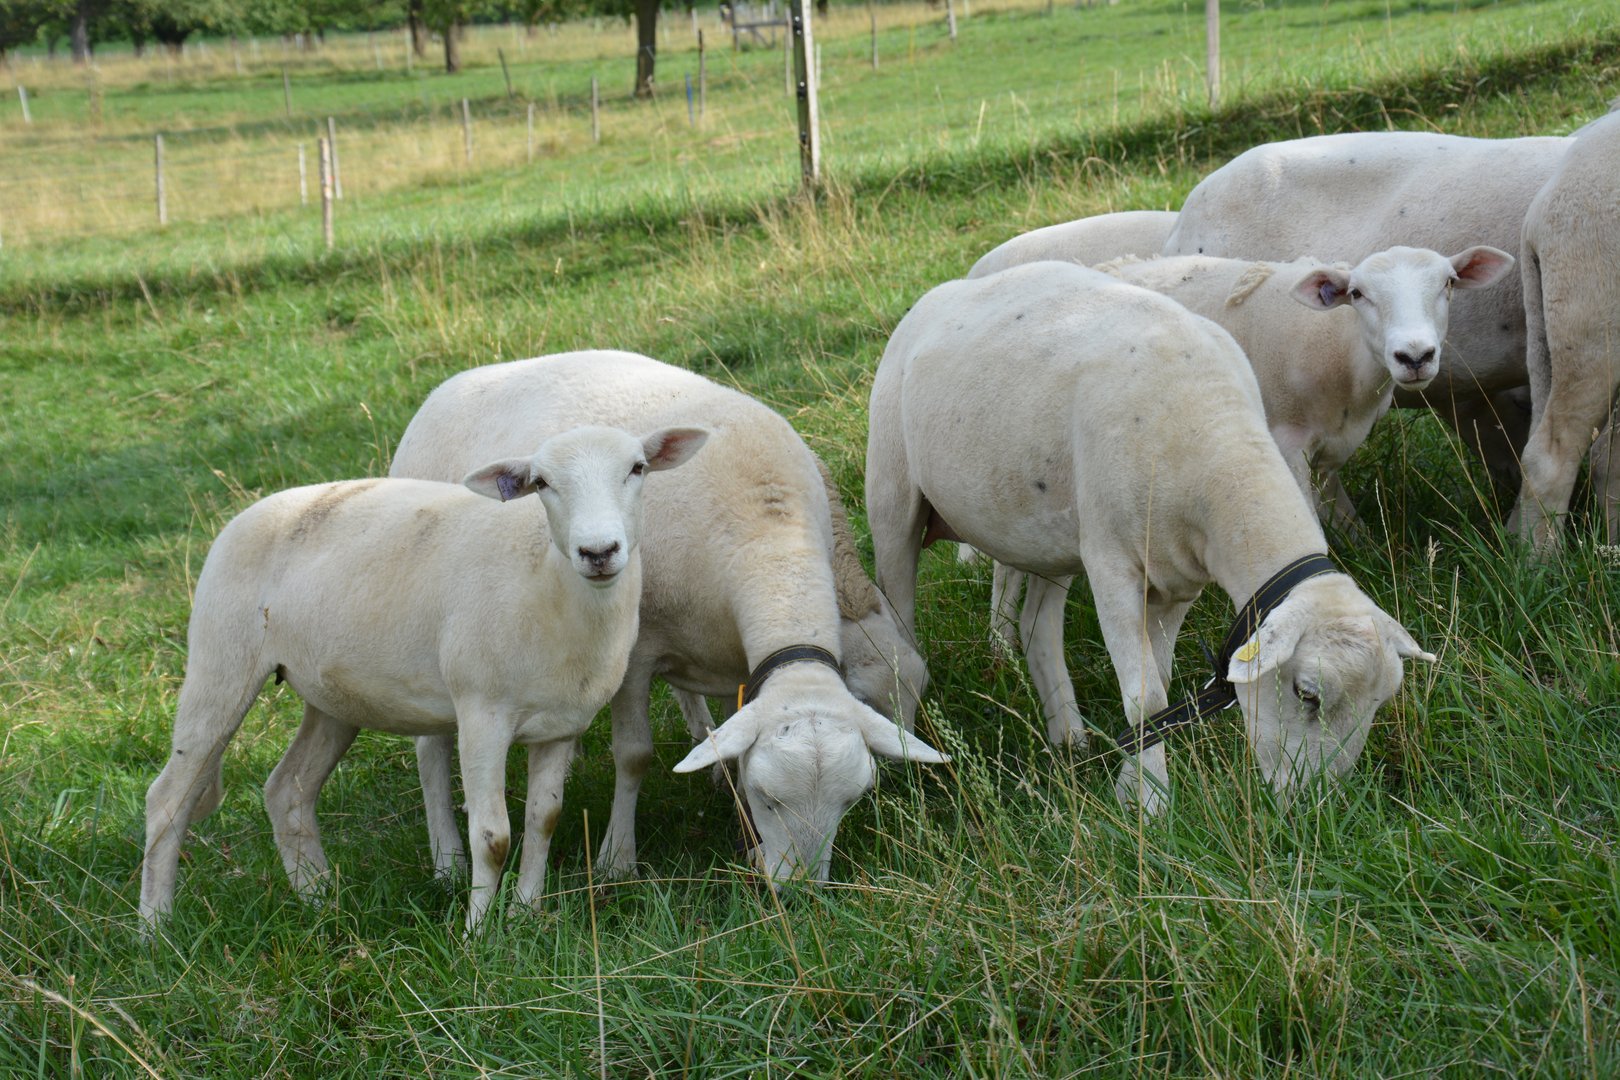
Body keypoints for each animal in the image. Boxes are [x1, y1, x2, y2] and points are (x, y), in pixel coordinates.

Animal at [140, 425, 708, 933]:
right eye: (542, 482)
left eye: (637, 468)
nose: (598, 552)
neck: (545, 583)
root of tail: (245, 514)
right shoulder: (481, 713)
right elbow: (493, 836)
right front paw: (478, 936)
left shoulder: (560, 725)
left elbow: (544, 819)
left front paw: (527, 915)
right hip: (220, 661)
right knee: (167, 799)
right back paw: (156, 928)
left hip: (331, 696)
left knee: (288, 789)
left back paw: (321, 901)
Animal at [387, 351, 945, 890]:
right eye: (768, 798)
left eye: (850, 800)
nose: (801, 890)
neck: (770, 535)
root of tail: (441, 391)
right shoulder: (634, 656)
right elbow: (633, 755)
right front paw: (617, 860)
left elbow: (732, 728)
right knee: (429, 748)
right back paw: (447, 860)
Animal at [866, 261, 1434, 808]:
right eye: (1307, 693)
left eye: (1380, 702)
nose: (1316, 805)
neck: (1214, 441)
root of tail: (942, 293)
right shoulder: (1112, 566)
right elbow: (1146, 697)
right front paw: (1152, 803)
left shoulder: (1180, 577)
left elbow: (1157, 686)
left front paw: (1129, 784)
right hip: (892, 496)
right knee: (901, 621)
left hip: (1048, 533)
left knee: (1036, 627)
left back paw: (1068, 736)